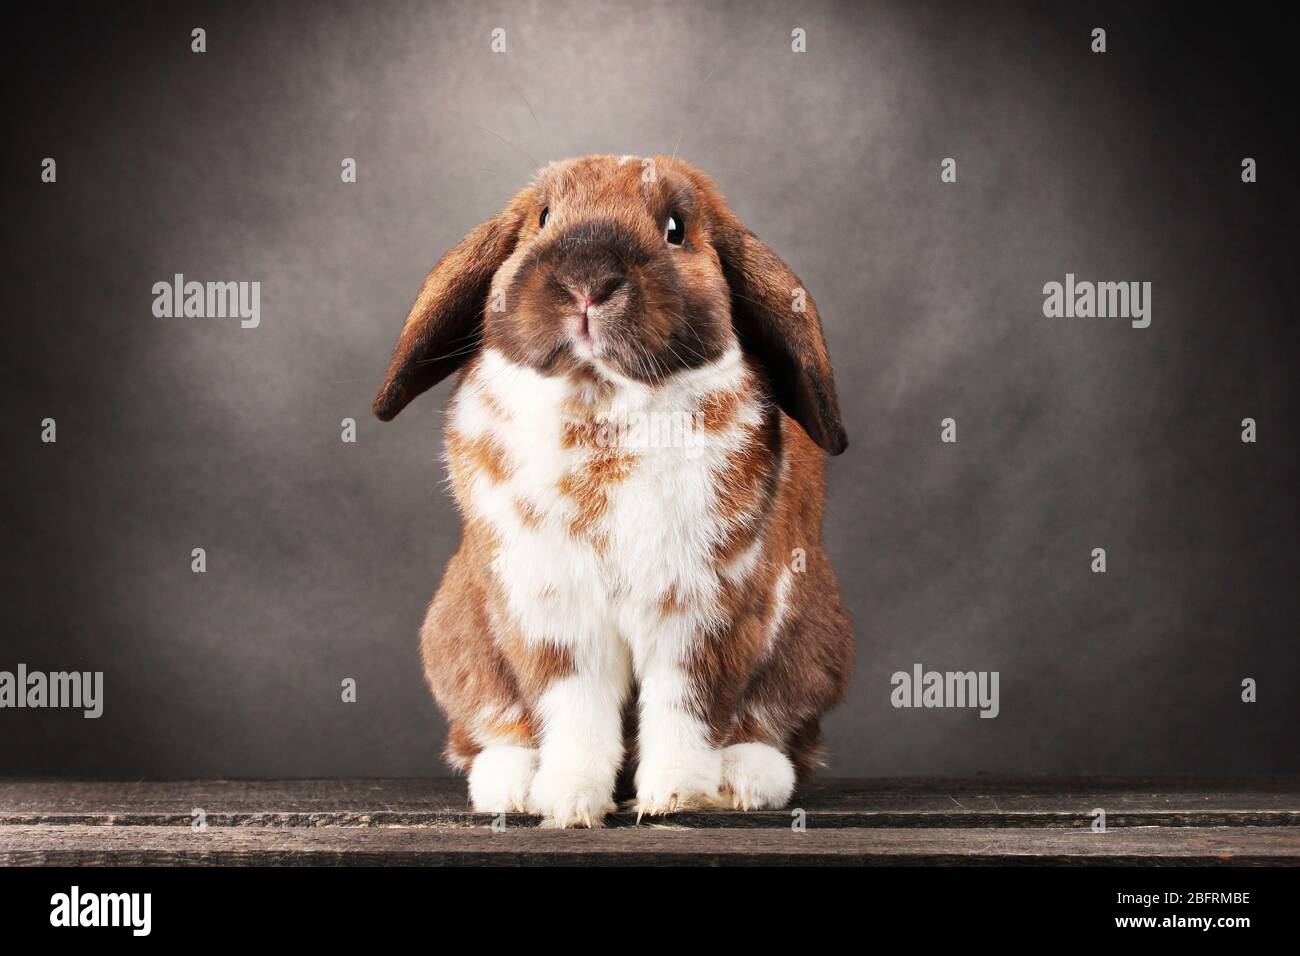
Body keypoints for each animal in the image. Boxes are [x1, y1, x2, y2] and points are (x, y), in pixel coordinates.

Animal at [373, 154, 852, 827]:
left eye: (676, 228)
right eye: (542, 218)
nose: (587, 281)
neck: (603, 403)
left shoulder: (705, 614)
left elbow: (686, 711)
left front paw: (673, 798)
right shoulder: (553, 617)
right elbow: (574, 713)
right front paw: (570, 802)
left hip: (814, 643)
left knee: (783, 736)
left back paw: (745, 780)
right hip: (455, 639)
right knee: (485, 732)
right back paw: (511, 785)